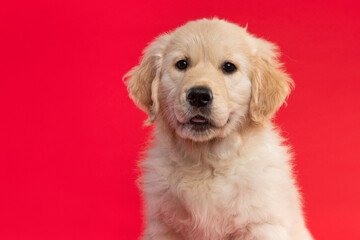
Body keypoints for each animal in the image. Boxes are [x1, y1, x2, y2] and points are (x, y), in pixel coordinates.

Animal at [123, 17, 312, 239]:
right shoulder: (164, 226)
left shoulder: (262, 224)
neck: (206, 161)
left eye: (229, 67)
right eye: (182, 64)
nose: (198, 95)